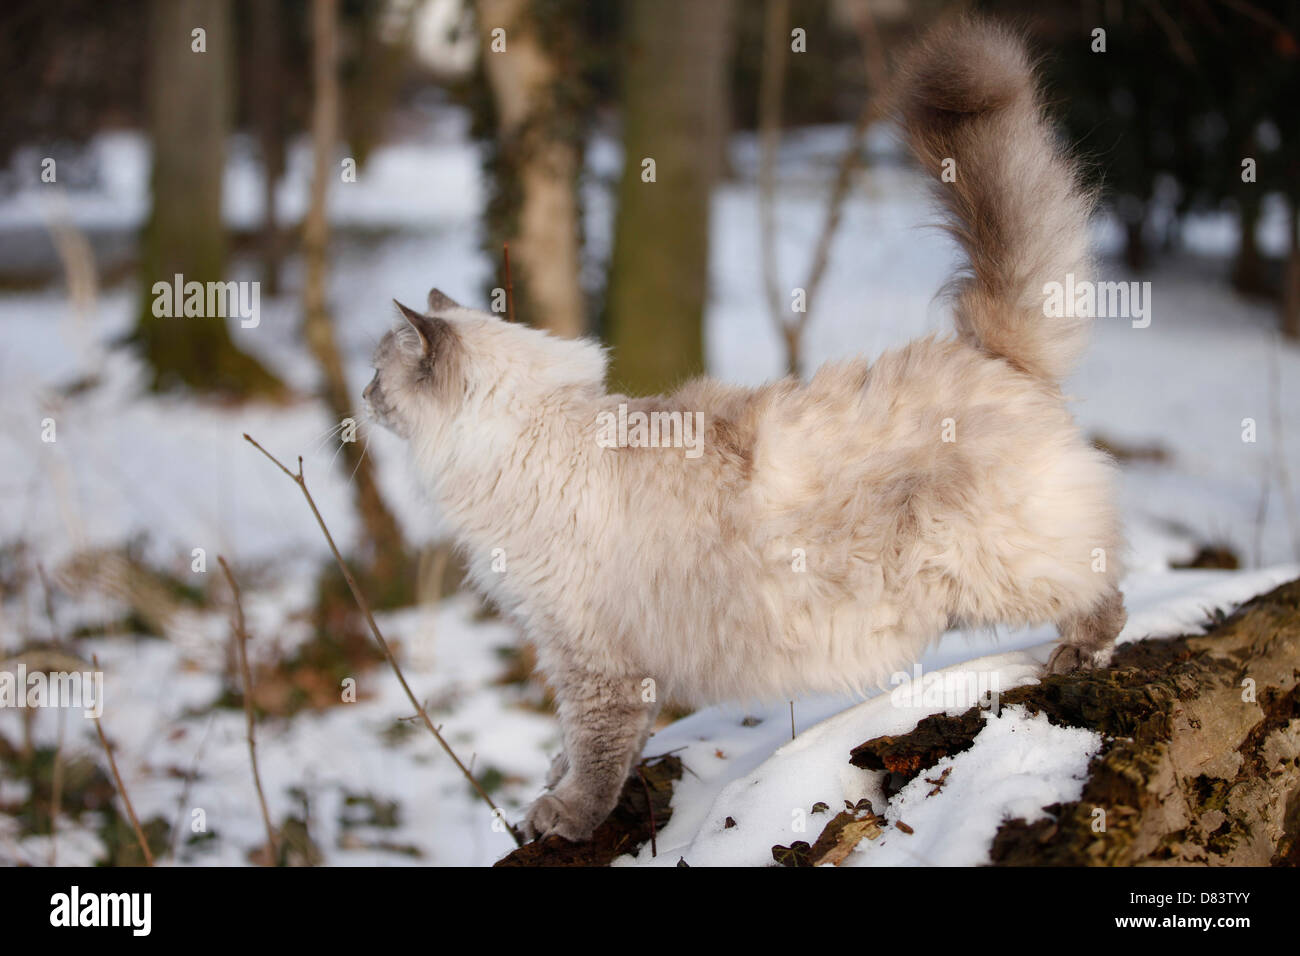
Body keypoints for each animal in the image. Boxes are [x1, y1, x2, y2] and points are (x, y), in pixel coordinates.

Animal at [366, 16, 1128, 842]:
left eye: (378, 372)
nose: (364, 396)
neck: (520, 439)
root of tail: (987, 350)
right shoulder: (585, 655)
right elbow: (583, 746)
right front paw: (556, 788)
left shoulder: (590, 658)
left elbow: (594, 753)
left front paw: (564, 815)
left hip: (991, 563)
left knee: (1103, 582)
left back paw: (1079, 652)